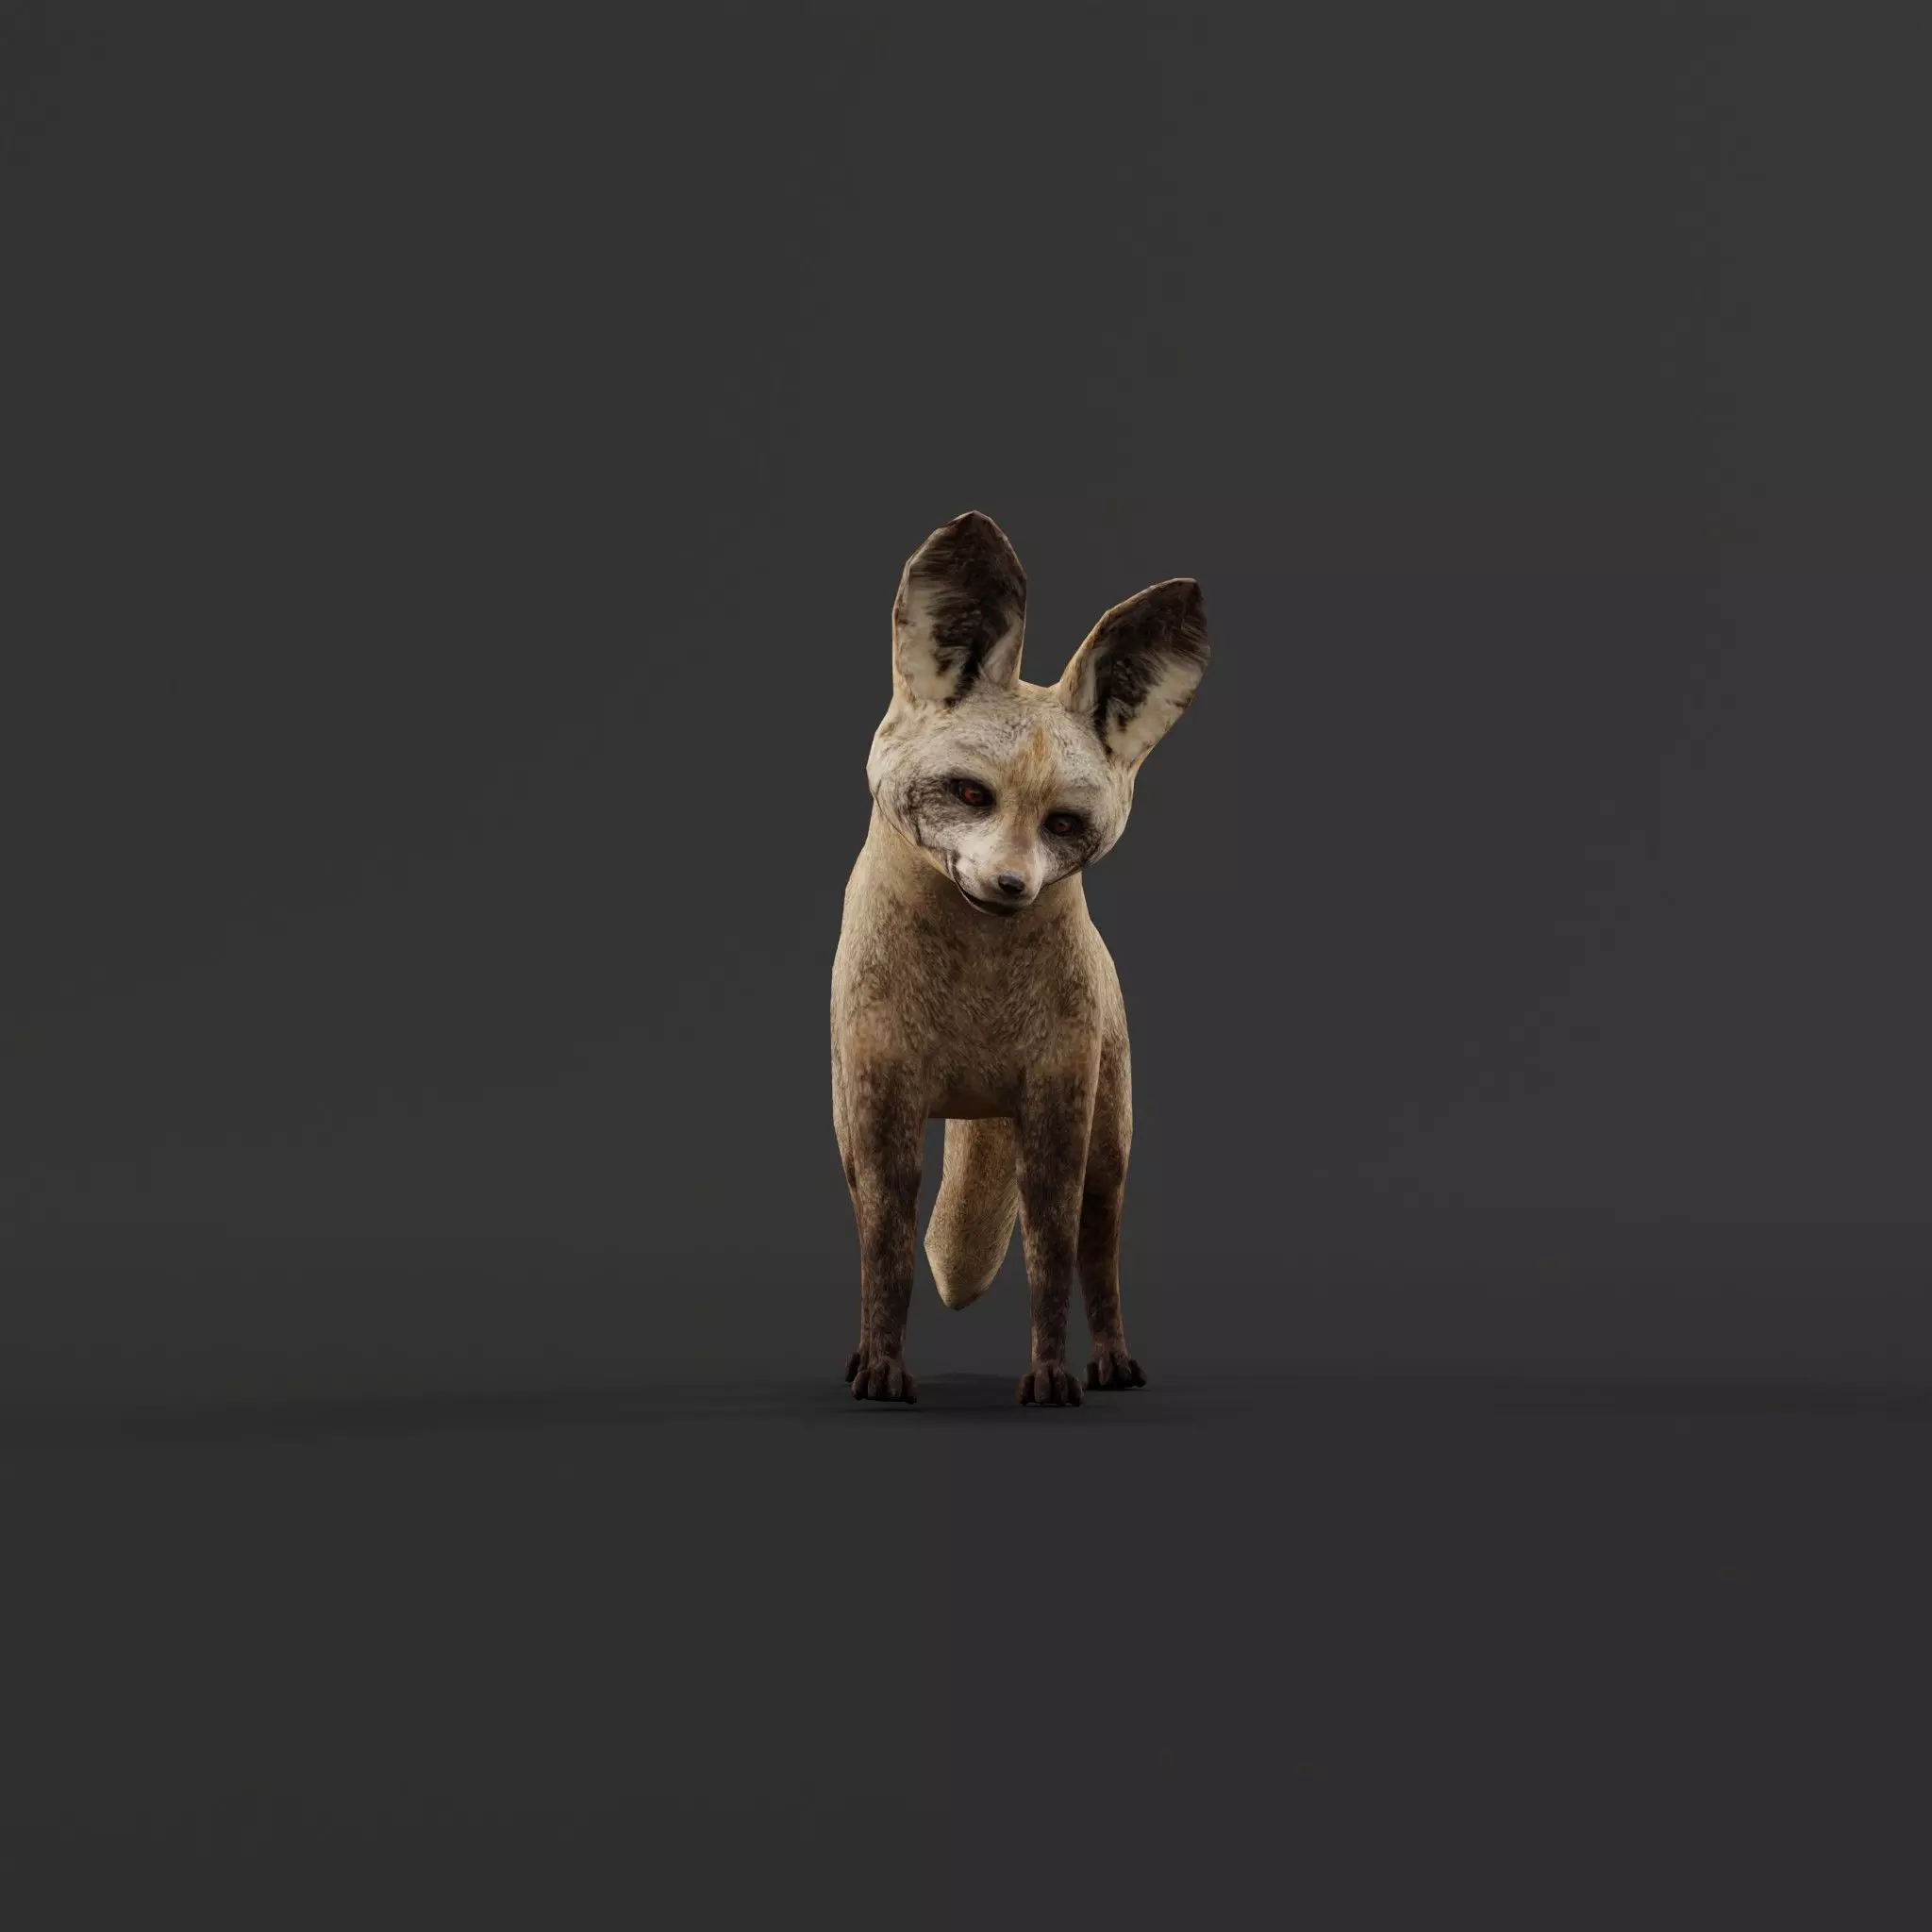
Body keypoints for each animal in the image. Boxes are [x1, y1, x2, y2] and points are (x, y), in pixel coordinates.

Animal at [830, 510, 1211, 1407]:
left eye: (1063, 824)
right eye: (972, 794)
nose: (1010, 884)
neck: (972, 1007)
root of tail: (970, 1095)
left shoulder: (1058, 1099)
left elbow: (1050, 1253)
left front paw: (1050, 1372)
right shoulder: (879, 1097)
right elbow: (886, 1250)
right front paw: (882, 1367)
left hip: (1112, 1136)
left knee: (1100, 1249)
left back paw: (1112, 1360)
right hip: (844, 1131)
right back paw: (860, 1357)